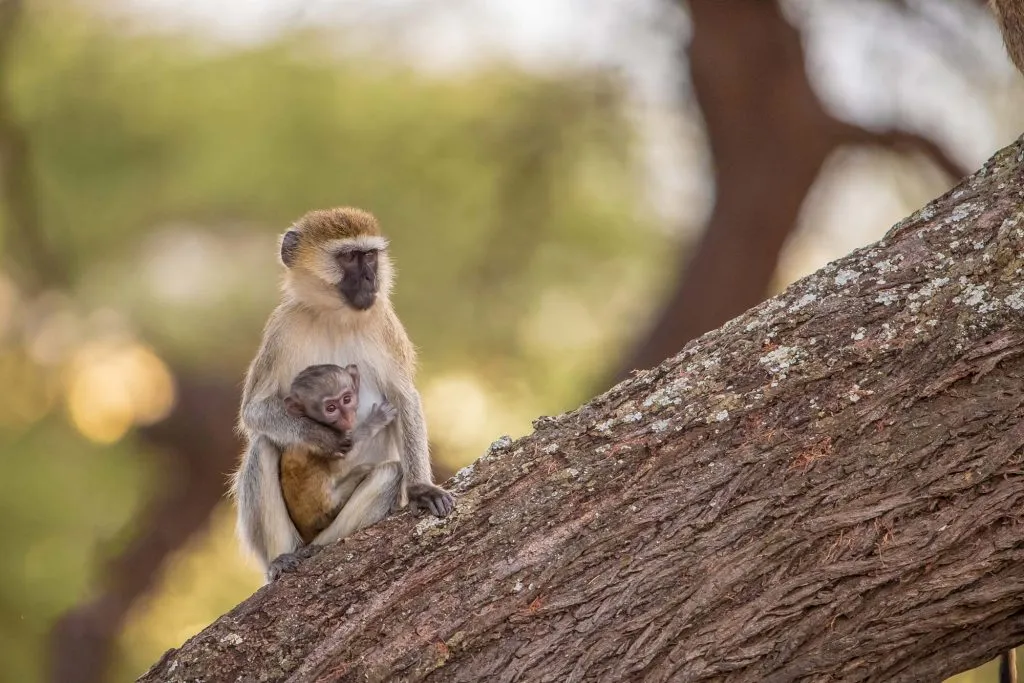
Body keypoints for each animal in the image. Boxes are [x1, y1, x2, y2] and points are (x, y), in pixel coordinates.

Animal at [280, 366, 399, 548]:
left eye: (347, 399)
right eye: (330, 408)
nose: (347, 416)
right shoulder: (318, 442)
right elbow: (343, 460)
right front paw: (374, 421)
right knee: (386, 469)